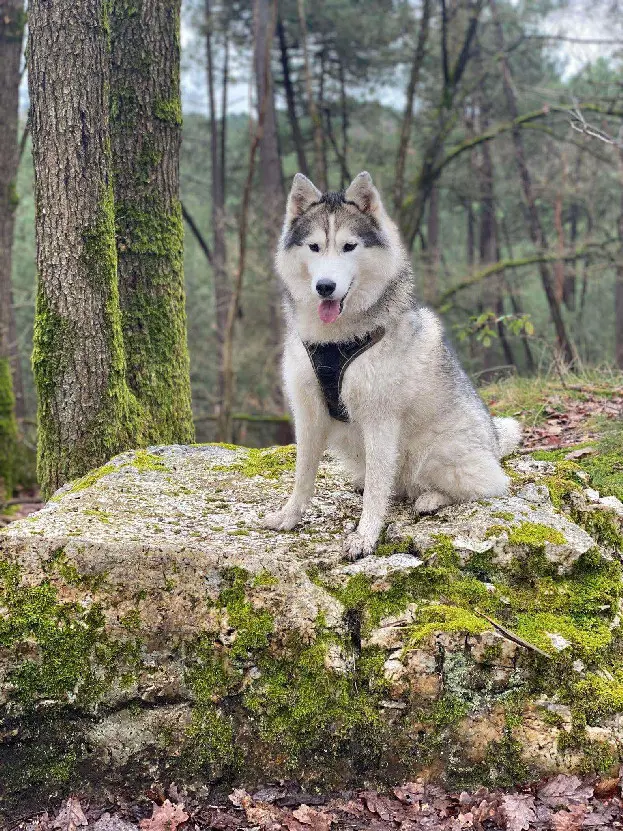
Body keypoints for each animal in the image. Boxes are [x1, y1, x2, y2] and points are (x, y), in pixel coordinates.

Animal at [264, 172, 520, 564]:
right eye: (314, 247)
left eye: (349, 246)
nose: (325, 287)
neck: (337, 340)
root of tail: (493, 440)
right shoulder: (307, 414)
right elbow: (303, 475)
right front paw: (290, 517)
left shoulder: (380, 419)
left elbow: (376, 490)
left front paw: (365, 537)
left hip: (438, 454)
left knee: (487, 485)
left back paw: (431, 498)